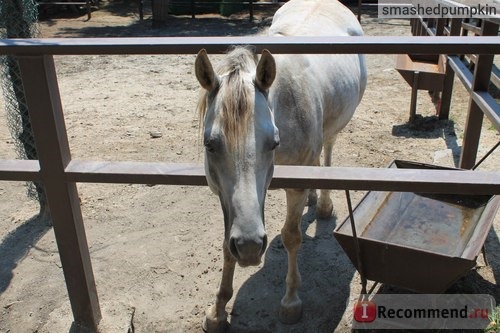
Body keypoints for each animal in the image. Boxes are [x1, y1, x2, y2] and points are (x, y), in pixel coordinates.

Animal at [195, 0, 368, 330]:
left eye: (273, 143)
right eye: (210, 145)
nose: (249, 247)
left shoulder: (294, 187)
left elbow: (292, 237)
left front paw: (290, 301)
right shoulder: (221, 195)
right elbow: (225, 245)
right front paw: (218, 309)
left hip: (334, 128)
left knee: (327, 150)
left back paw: (323, 204)